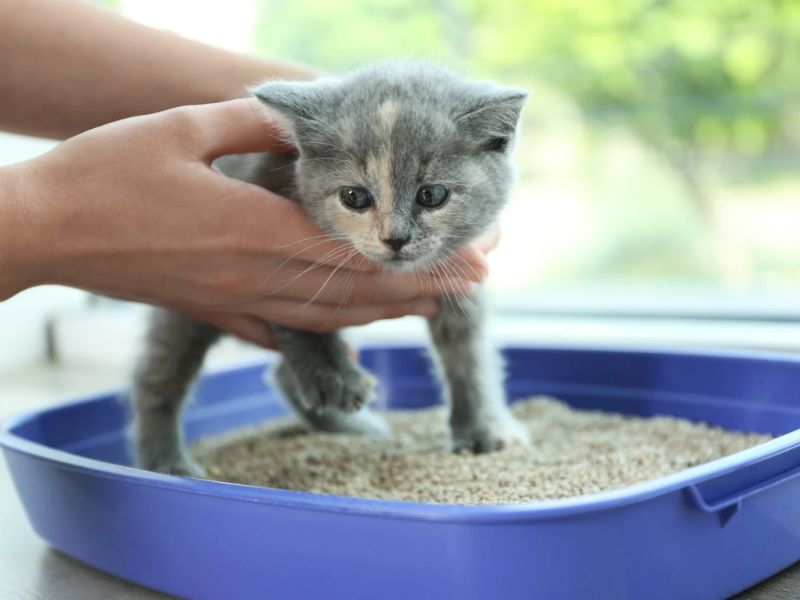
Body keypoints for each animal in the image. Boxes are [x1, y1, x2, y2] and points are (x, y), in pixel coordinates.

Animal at [132, 58, 532, 476]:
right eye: (354, 197)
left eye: (432, 195)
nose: (394, 238)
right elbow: (298, 316)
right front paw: (334, 375)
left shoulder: (460, 277)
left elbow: (469, 355)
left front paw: (483, 430)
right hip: (183, 307)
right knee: (156, 377)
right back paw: (166, 460)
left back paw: (356, 428)